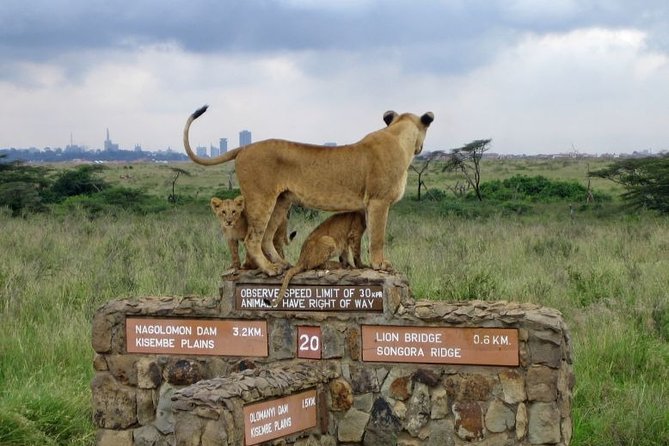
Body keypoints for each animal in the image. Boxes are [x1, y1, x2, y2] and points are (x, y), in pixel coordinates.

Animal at [184, 105, 433, 276]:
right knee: (252, 239)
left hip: (281, 201)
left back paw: (283, 264)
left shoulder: (369, 205)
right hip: (260, 199)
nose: (422, 148)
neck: (399, 137)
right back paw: (270, 269)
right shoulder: (379, 201)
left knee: (267, 238)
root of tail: (245, 146)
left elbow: (366, 236)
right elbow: (378, 237)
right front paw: (380, 264)